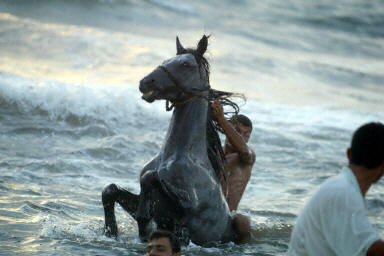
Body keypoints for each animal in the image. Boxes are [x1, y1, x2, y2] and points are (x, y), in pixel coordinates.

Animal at [102, 35, 244, 245]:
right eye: (166, 60)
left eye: (185, 64)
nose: (145, 82)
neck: (177, 155)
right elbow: (110, 190)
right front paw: (111, 232)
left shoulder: (187, 205)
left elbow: (149, 178)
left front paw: (143, 224)